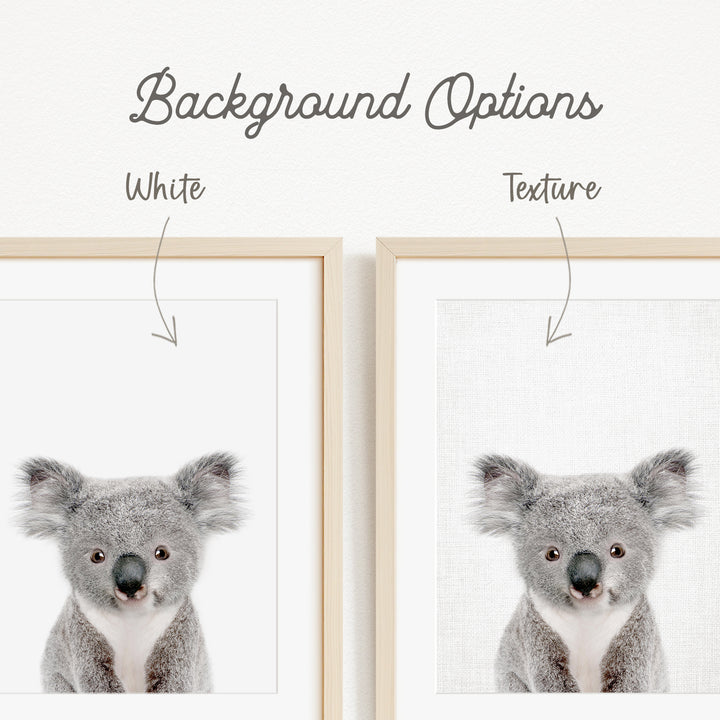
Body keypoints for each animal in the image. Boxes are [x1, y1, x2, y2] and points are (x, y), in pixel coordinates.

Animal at [18, 452, 244, 693]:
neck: (132, 619)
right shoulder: (81, 635)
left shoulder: (180, 636)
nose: (130, 583)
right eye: (97, 556)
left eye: (161, 553)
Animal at [473, 449, 696, 692]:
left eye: (617, 551)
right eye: (552, 554)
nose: (585, 582)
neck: (586, 618)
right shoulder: (536, 633)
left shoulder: (636, 634)